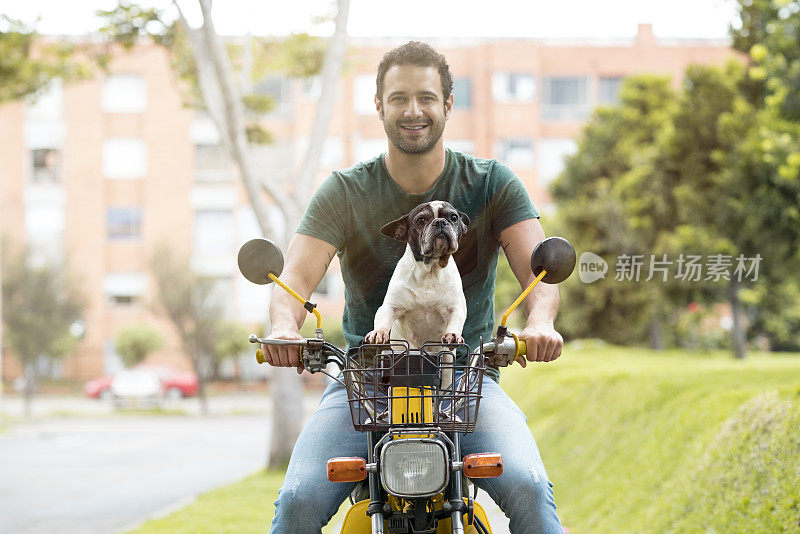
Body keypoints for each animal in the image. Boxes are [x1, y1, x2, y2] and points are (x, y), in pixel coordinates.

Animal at [368, 202, 472, 352]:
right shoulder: (391, 306)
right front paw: (379, 332)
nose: (440, 222)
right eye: (421, 220)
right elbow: (383, 319)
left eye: (454, 217)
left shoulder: (455, 308)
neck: (429, 272)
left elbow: (455, 320)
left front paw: (452, 334)